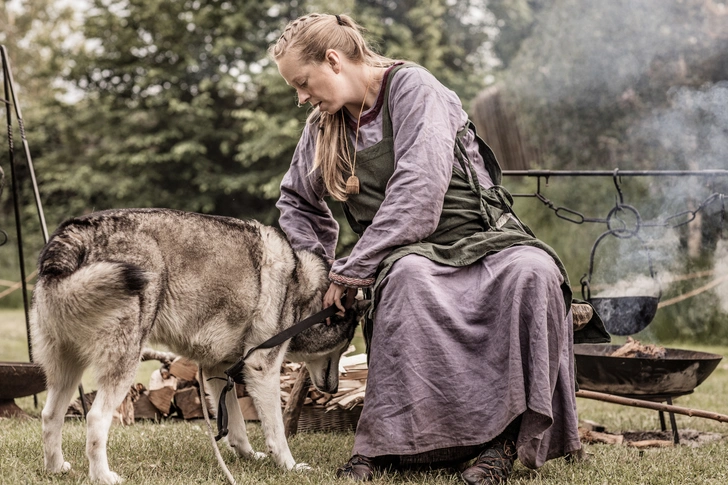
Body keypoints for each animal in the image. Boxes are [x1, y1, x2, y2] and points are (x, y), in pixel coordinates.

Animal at [30, 208, 362, 484]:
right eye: (344, 345)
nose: (334, 389)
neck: (300, 284)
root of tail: (73, 235)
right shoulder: (261, 370)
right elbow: (277, 433)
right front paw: (290, 467)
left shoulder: (217, 371)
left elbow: (237, 427)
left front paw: (249, 456)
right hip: (123, 366)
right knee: (96, 419)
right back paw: (103, 477)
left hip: (66, 371)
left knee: (50, 416)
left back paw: (55, 469)